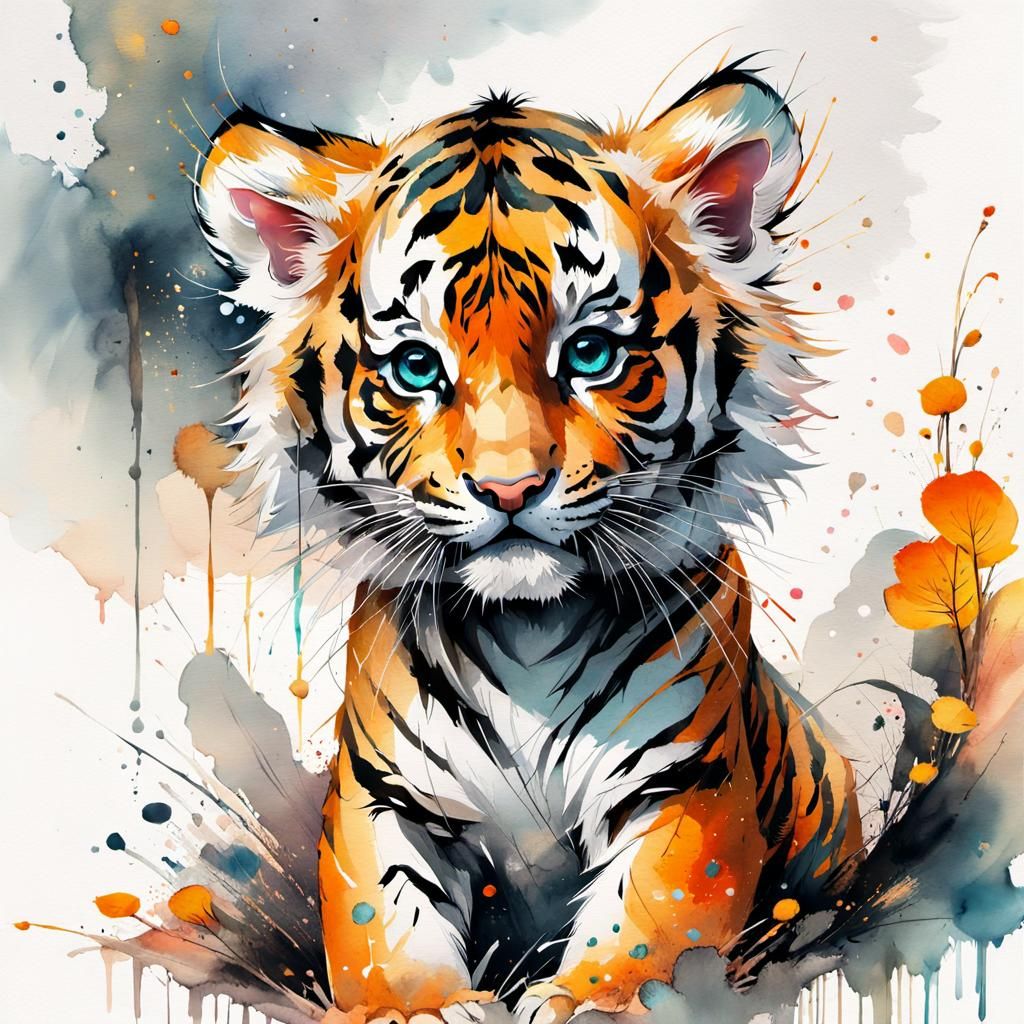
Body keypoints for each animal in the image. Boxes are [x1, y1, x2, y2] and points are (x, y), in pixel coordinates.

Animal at [195, 66, 862, 1023]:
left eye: (589, 354)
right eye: (416, 368)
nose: (509, 489)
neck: (527, 629)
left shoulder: (684, 784)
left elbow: (654, 919)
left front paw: (596, 1000)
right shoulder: (384, 793)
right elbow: (380, 921)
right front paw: (421, 1007)